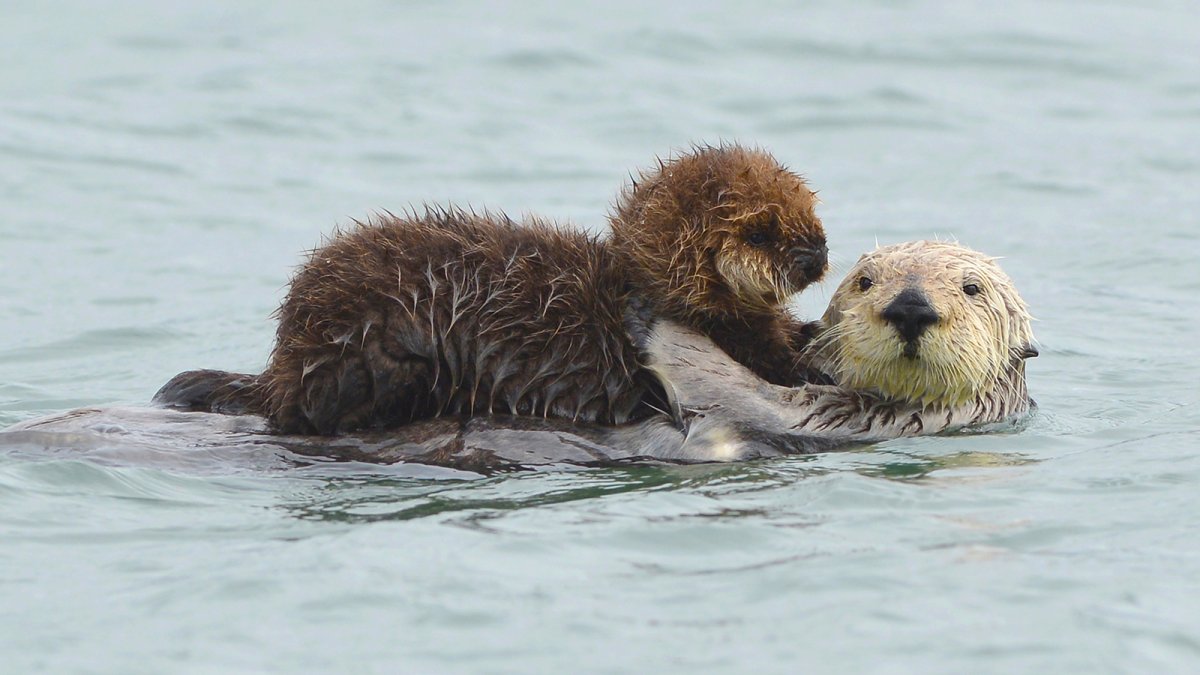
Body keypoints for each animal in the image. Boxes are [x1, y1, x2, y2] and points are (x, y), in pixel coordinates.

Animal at [156, 144, 829, 434]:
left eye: (809, 210)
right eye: (762, 231)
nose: (816, 254)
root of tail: (282, 362)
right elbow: (778, 363)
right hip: (367, 355)